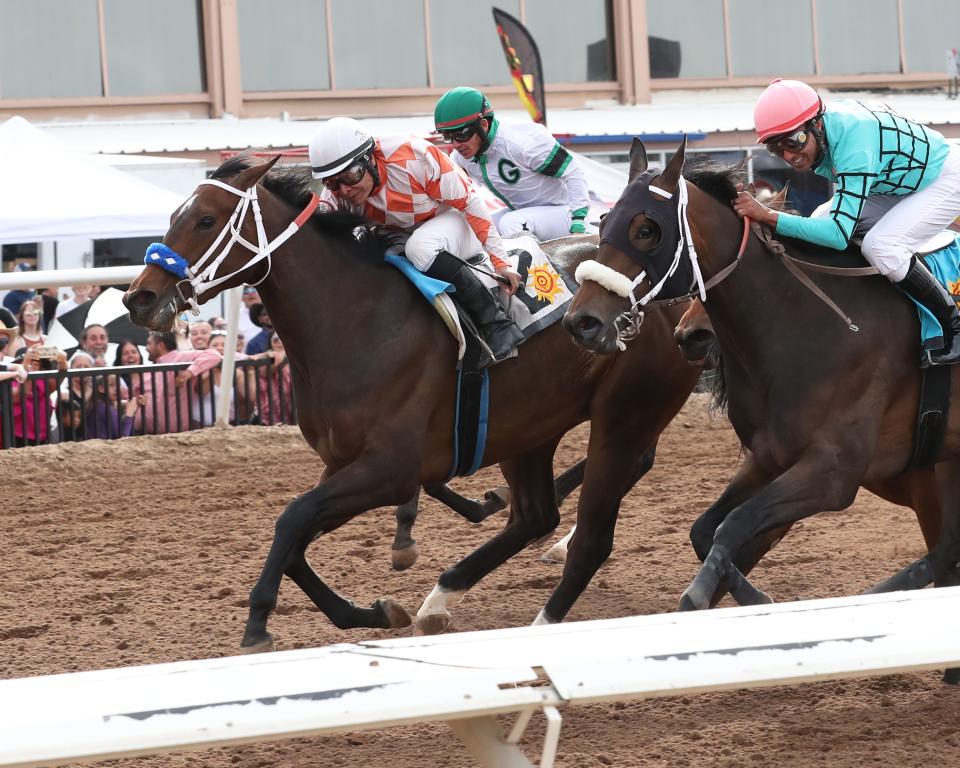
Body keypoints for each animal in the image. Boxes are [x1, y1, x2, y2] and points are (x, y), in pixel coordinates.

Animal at [564, 138, 960, 616]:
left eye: (646, 229)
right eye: (604, 221)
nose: (582, 322)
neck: (810, 322)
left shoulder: (833, 472)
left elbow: (735, 524)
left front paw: (706, 593)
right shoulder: (769, 458)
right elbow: (706, 529)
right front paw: (751, 596)